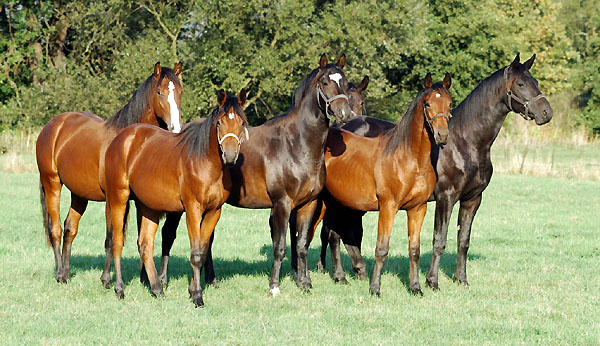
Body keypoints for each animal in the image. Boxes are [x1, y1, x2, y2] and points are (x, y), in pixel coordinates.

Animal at [36, 62, 182, 284]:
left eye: (180, 91)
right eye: (160, 92)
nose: (175, 128)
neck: (129, 142)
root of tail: (52, 126)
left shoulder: (139, 201)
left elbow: (141, 237)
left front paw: (145, 278)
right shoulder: (111, 199)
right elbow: (111, 238)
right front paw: (106, 279)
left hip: (79, 194)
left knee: (70, 228)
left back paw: (67, 272)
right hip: (52, 184)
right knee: (56, 230)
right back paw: (60, 273)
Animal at [103, 90, 248, 306]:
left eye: (242, 122)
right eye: (219, 123)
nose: (230, 155)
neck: (205, 162)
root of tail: (121, 139)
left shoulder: (214, 211)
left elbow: (203, 250)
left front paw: (192, 289)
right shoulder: (193, 210)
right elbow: (196, 254)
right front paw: (197, 296)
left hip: (148, 206)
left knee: (145, 243)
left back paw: (157, 288)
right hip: (119, 198)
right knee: (118, 241)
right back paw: (119, 289)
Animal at [318, 52, 552, 290]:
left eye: (536, 82)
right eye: (521, 84)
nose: (546, 113)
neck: (466, 143)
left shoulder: (472, 199)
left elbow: (463, 241)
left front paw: (461, 279)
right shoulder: (445, 197)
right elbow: (439, 240)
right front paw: (432, 281)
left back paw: (356, 272)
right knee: (334, 232)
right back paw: (340, 275)